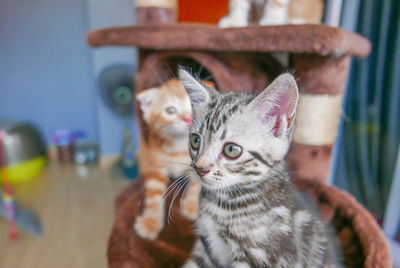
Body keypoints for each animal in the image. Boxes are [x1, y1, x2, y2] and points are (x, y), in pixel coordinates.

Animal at [134, 78, 202, 240]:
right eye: (170, 110)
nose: (188, 119)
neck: (179, 147)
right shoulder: (156, 163)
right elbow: (153, 196)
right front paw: (151, 223)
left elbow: (196, 183)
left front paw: (191, 206)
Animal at [180, 69, 342, 268]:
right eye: (195, 140)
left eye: (231, 150)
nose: (200, 168)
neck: (223, 204)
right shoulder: (206, 248)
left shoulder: (256, 256)